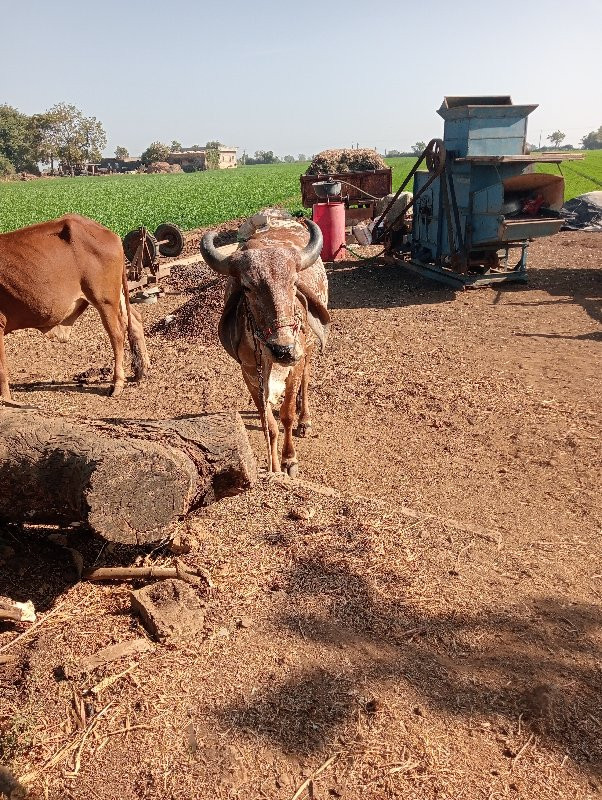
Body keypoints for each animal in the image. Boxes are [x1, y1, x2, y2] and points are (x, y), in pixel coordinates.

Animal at [0, 212, 149, 400]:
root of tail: (112, 235)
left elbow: (1, 369)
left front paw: (5, 398)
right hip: (117, 297)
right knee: (135, 320)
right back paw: (142, 370)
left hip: (105, 300)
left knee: (117, 334)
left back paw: (117, 383)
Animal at [200, 212, 328, 476]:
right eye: (247, 287)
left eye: (293, 282)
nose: (284, 349)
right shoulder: (249, 372)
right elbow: (268, 423)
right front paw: (274, 467)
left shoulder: (294, 365)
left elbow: (287, 415)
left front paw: (290, 460)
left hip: (308, 350)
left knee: (306, 381)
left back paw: (305, 419)